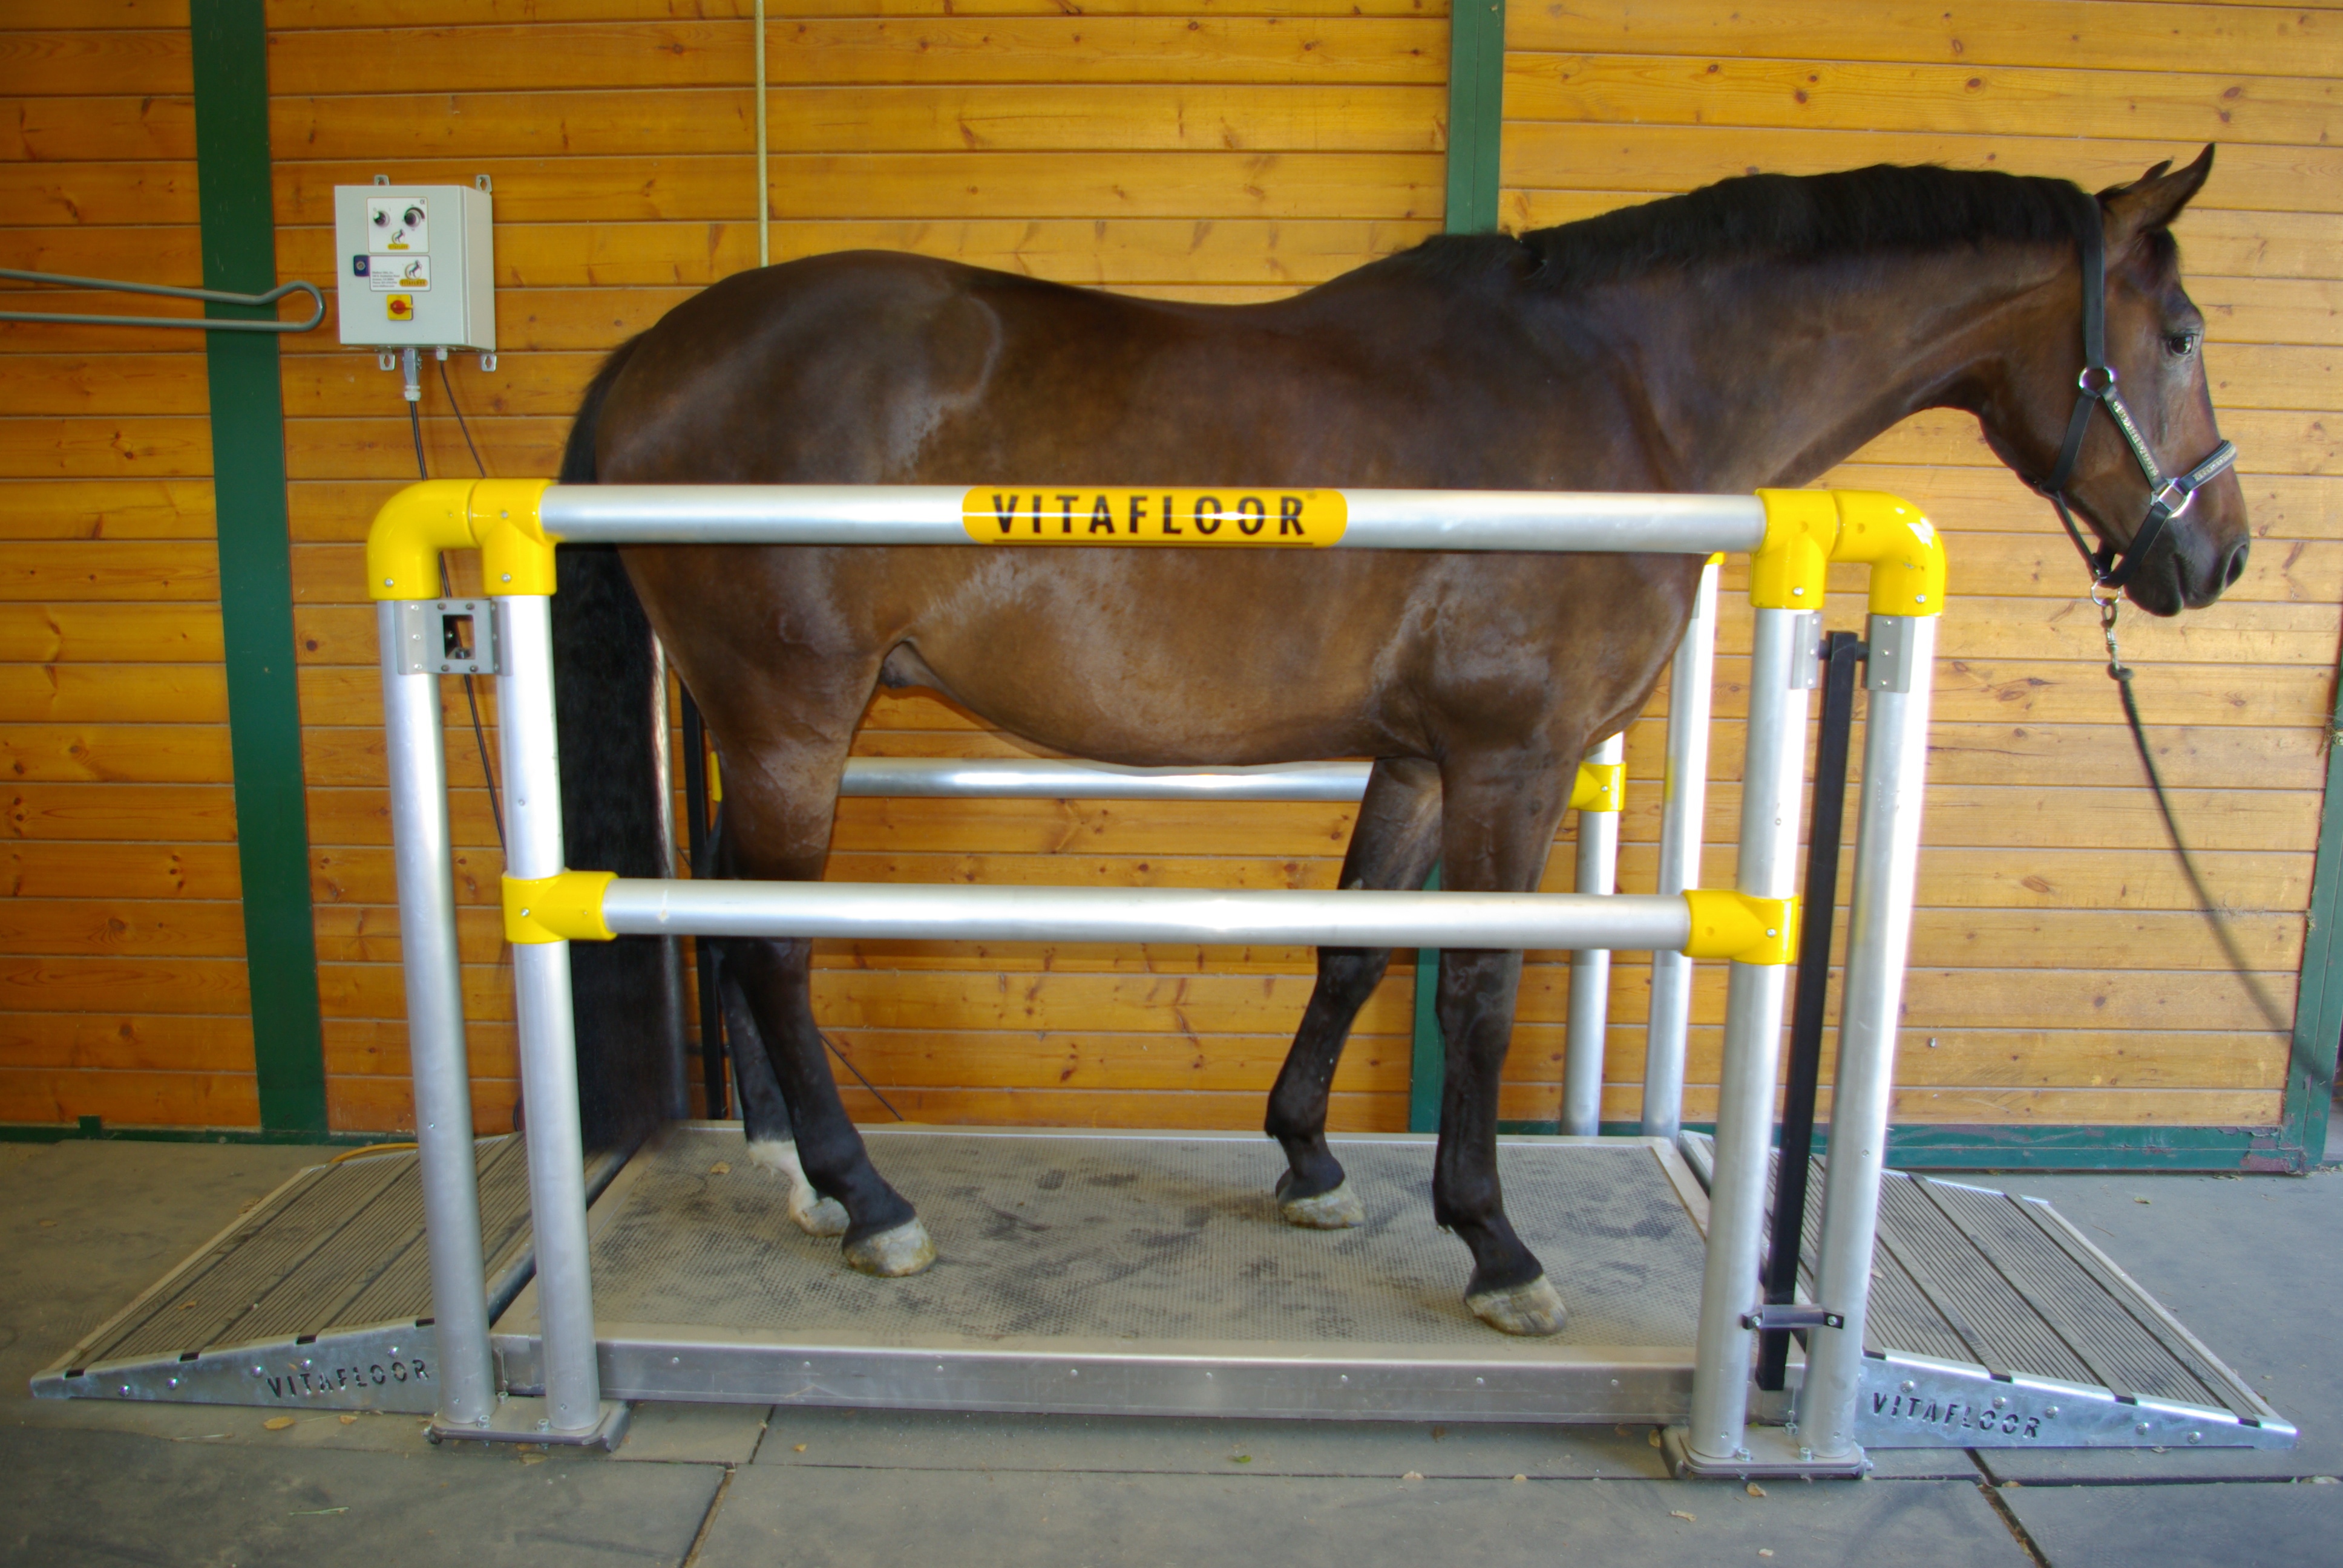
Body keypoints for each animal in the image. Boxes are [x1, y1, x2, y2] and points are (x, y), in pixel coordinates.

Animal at [548, 149, 2249, 1337]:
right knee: (772, 944)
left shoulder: (1426, 759)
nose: (2214, 555)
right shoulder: (1514, 758)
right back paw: (869, 1199)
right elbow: (1481, 992)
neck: (1627, 391)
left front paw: (1309, 1163)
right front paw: (1495, 1247)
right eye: (2176, 332)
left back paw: (791, 1174)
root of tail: (649, 358)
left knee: (725, 921)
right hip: (791, 718)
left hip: (761, 726)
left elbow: (1357, 946)